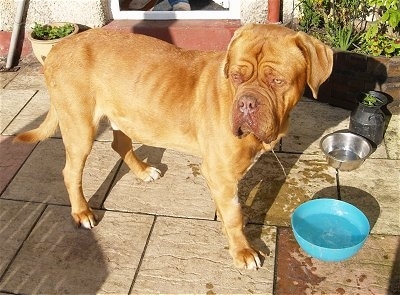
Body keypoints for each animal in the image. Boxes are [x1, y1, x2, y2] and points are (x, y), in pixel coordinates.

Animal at [15, 24, 332, 270]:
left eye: (277, 81)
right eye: (236, 76)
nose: (246, 104)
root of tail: (57, 48)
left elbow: (230, 209)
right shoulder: (220, 173)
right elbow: (234, 215)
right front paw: (242, 250)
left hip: (125, 115)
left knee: (120, 144)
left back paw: (143, 171)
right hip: (80, 129)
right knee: (71, 172)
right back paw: (82, 213)